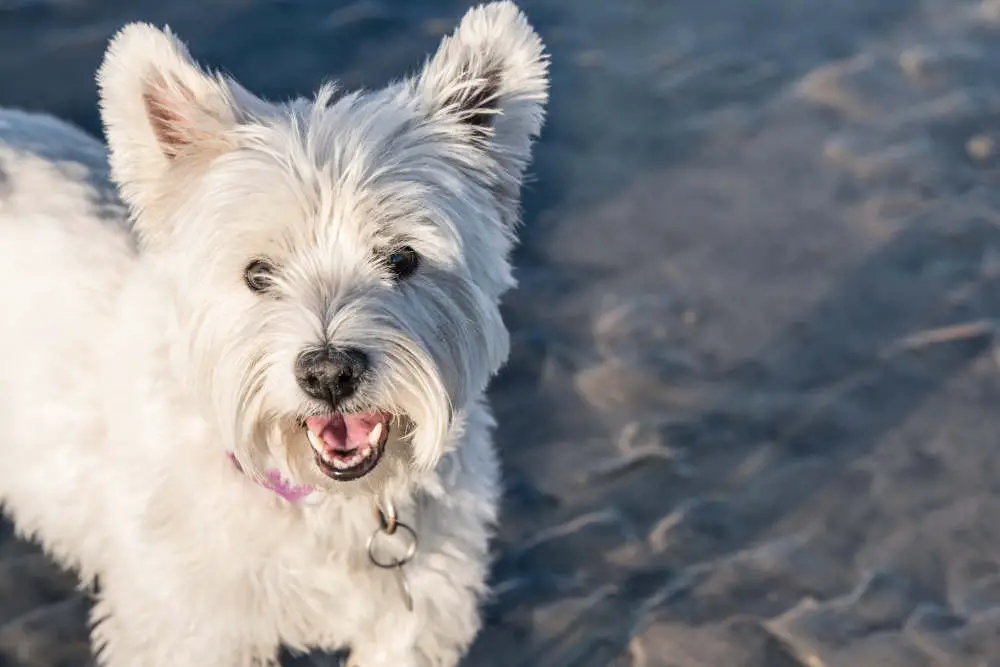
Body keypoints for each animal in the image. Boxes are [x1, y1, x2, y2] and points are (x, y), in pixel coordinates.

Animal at [0, 2, 548, 664]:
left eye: (402, 258)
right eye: (257, 273)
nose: (329, 374)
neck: (320, 502)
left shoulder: (413, 619)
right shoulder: (189, 630)